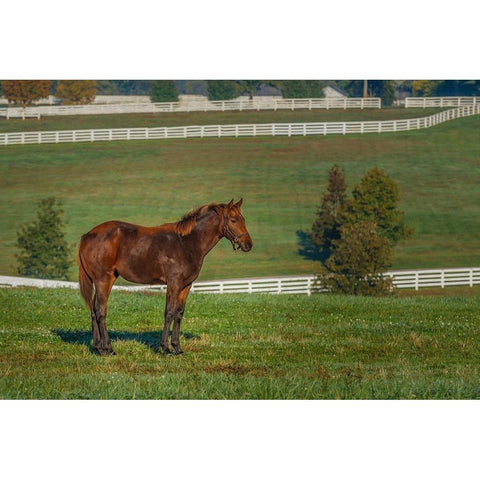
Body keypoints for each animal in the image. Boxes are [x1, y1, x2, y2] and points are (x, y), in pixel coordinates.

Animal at [77, 200, 253, 356]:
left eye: (243, 219)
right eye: (233, 220)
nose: (248, 244)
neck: (186, 243)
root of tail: (88, 235)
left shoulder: (186, 285)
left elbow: (179, 313)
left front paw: (177, 348)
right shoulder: (173, 283)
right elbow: (169, 312)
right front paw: (166, 349)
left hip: (105, 280)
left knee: (93, 311)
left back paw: (98, 348)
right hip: (103, 280)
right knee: (100, 311)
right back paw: (108, 349)